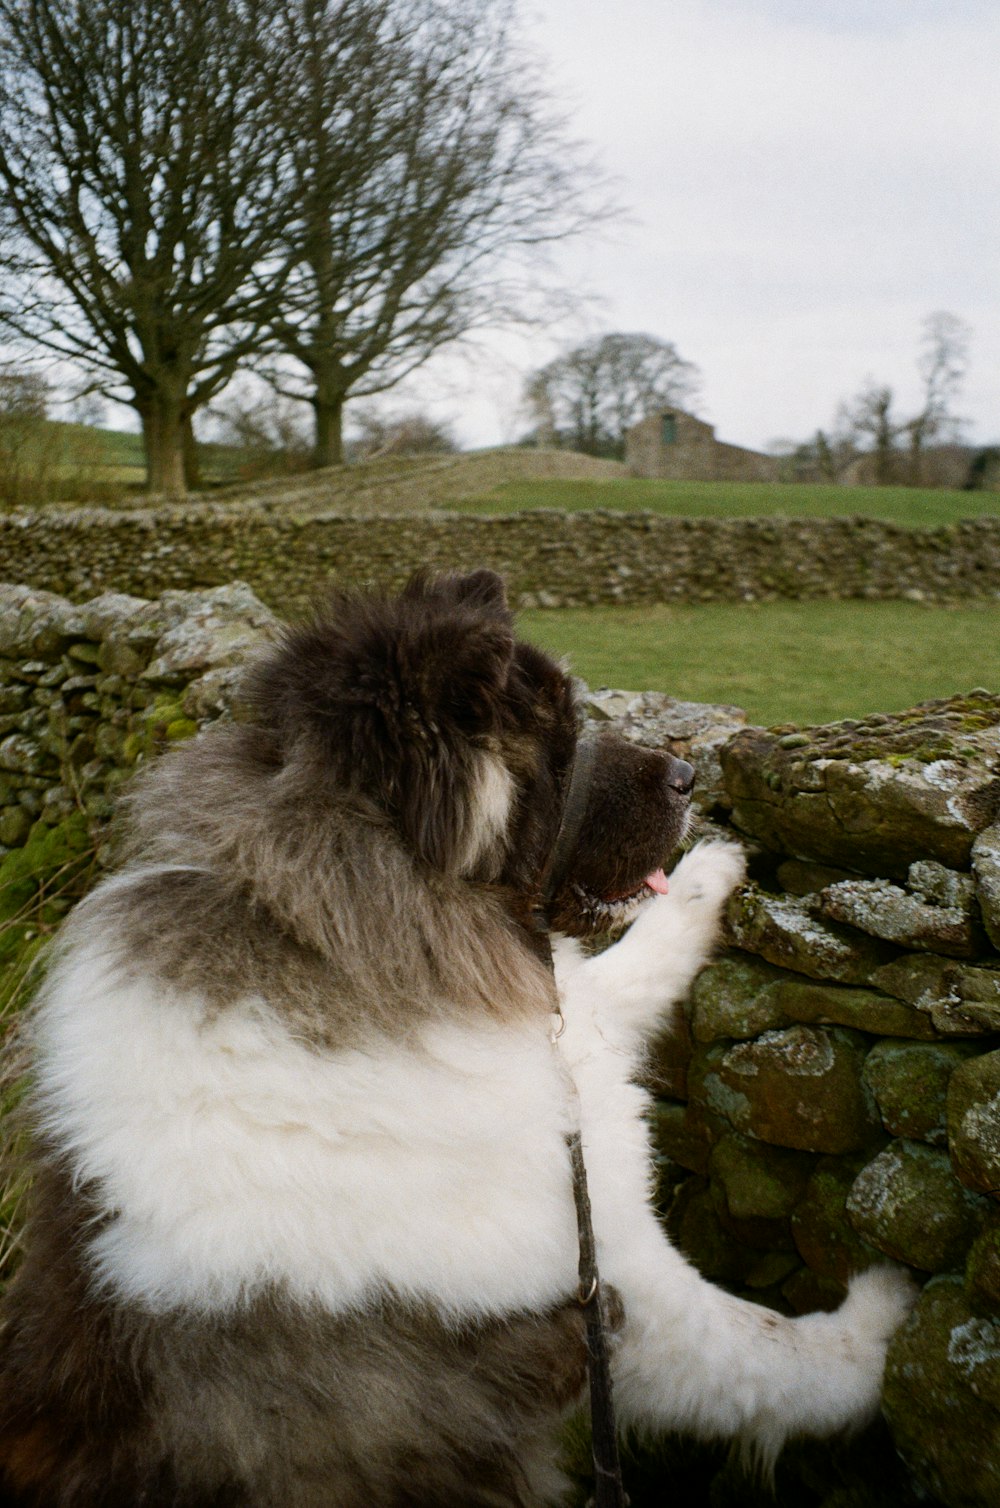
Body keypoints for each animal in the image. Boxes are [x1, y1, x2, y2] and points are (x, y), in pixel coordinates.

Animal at [0, 570, 917, 1501]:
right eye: (560, 744)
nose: (690, 774)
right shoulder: (616, 1288)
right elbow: (771, 1354)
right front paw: (887, 1321)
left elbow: (617, 976)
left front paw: (710, 876)